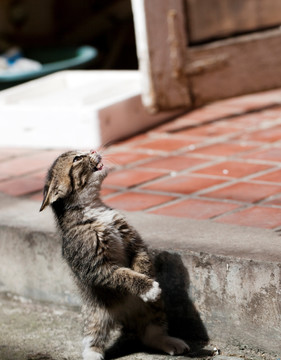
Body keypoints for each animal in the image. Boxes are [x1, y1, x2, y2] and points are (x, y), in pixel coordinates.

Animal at [40, 150, 188, 358]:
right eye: (77, 159)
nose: (93, 151)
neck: (94, 209)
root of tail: (124, 319)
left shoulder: (134, 241)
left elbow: (141, 259)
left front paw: (147, 276)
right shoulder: (96, 266)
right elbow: (122, 275)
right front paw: (147, 287)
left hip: (154, 309)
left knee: (150, 334)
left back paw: (167, 341)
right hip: (96, 314)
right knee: (93, 336)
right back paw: (92, 354)